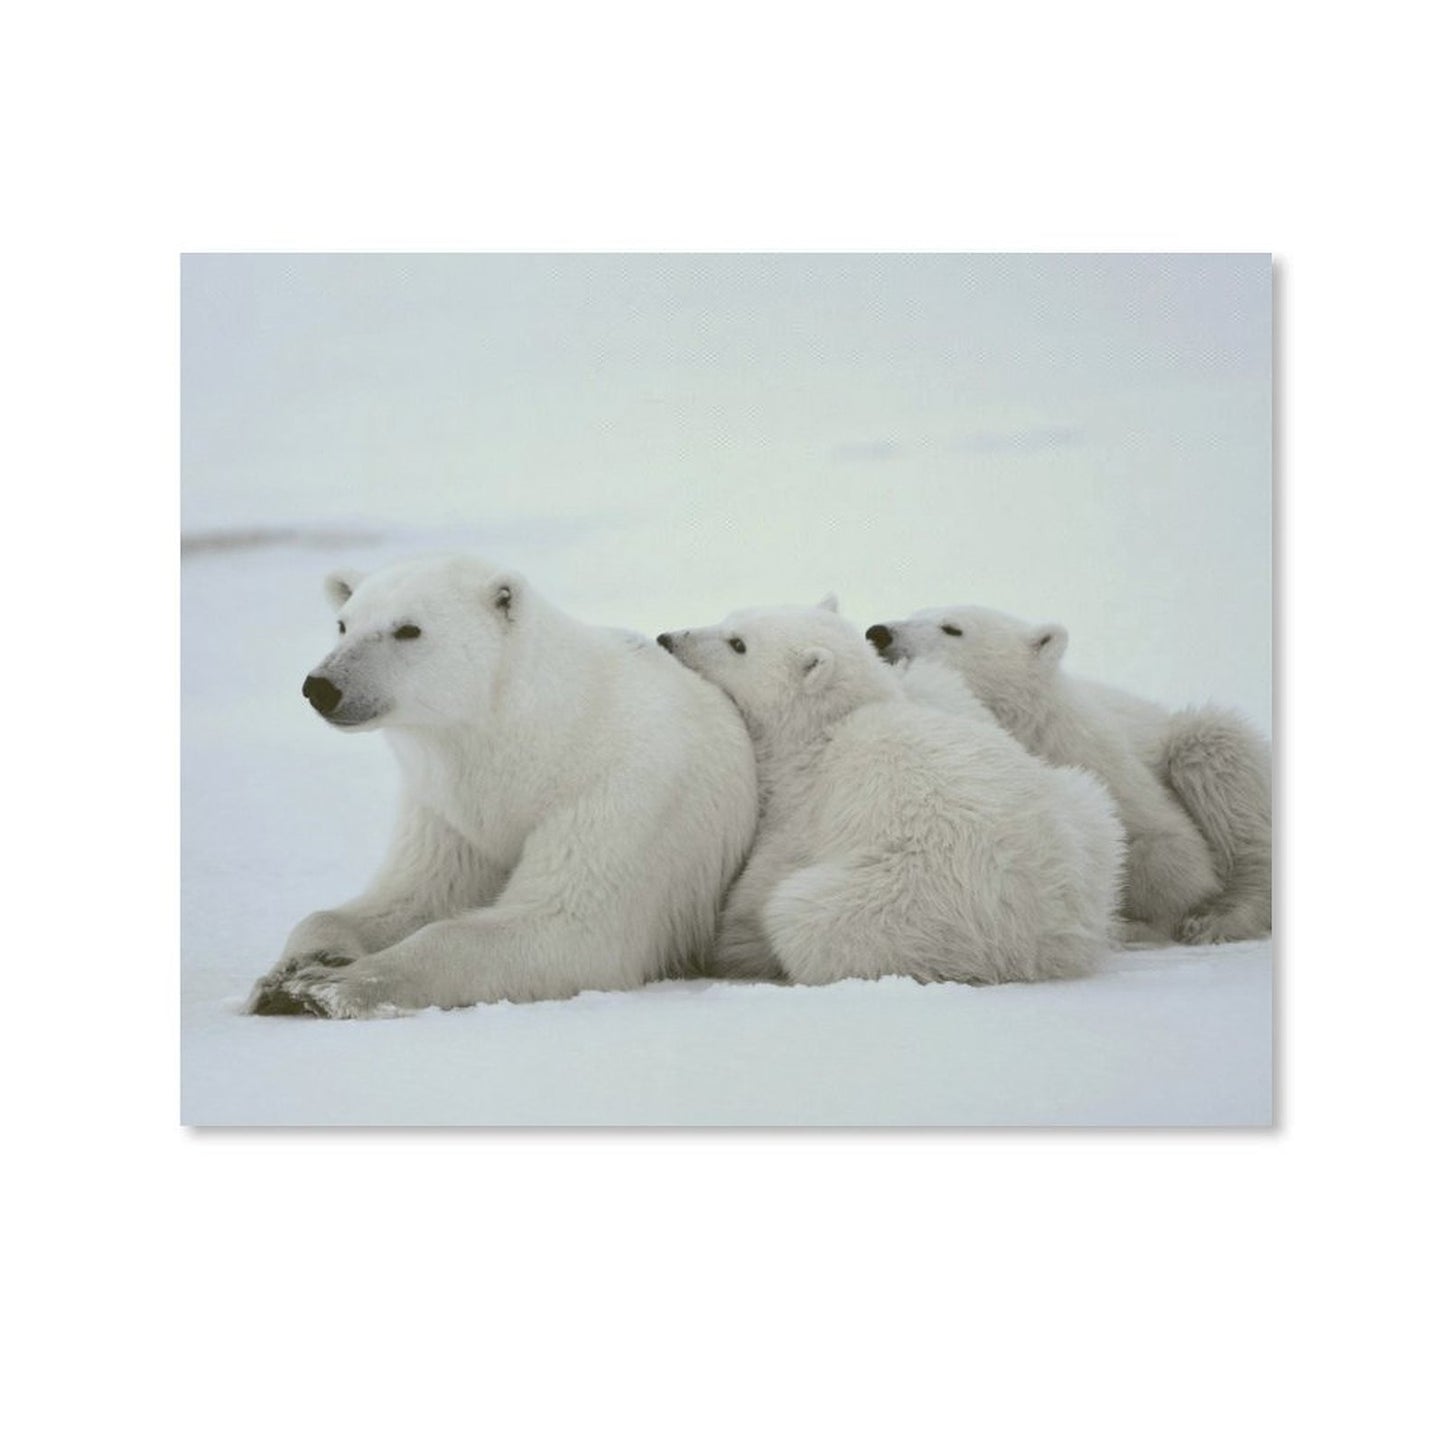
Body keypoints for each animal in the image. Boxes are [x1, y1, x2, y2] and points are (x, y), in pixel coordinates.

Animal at [246, 554, 759, 1018]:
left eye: (408, 629)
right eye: (343, 624)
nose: (322, 686)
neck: (547, 739)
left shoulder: (628, 792)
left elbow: (567, 927)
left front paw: (324, 987)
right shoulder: (450, 812)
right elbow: (412, 896)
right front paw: (295, 968)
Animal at [656, 599, 1124, 988]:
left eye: (738, 644)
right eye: (730, 618)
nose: (669, 639)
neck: (825, 730)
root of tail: (1046, 934)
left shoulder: (804, 803)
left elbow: (757, 887)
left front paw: (731, 943)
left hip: (900, 897)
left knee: (802, 917)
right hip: (1085, 815)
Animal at [865, 606, 1271, 943]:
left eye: (952, 628)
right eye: (914, 611)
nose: (879, 633)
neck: (1030, 728)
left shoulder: (1098, 762)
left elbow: (1173, 846)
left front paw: (1138, 919)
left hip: (1198, 740)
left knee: (1219, 761)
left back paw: (1219, 920)